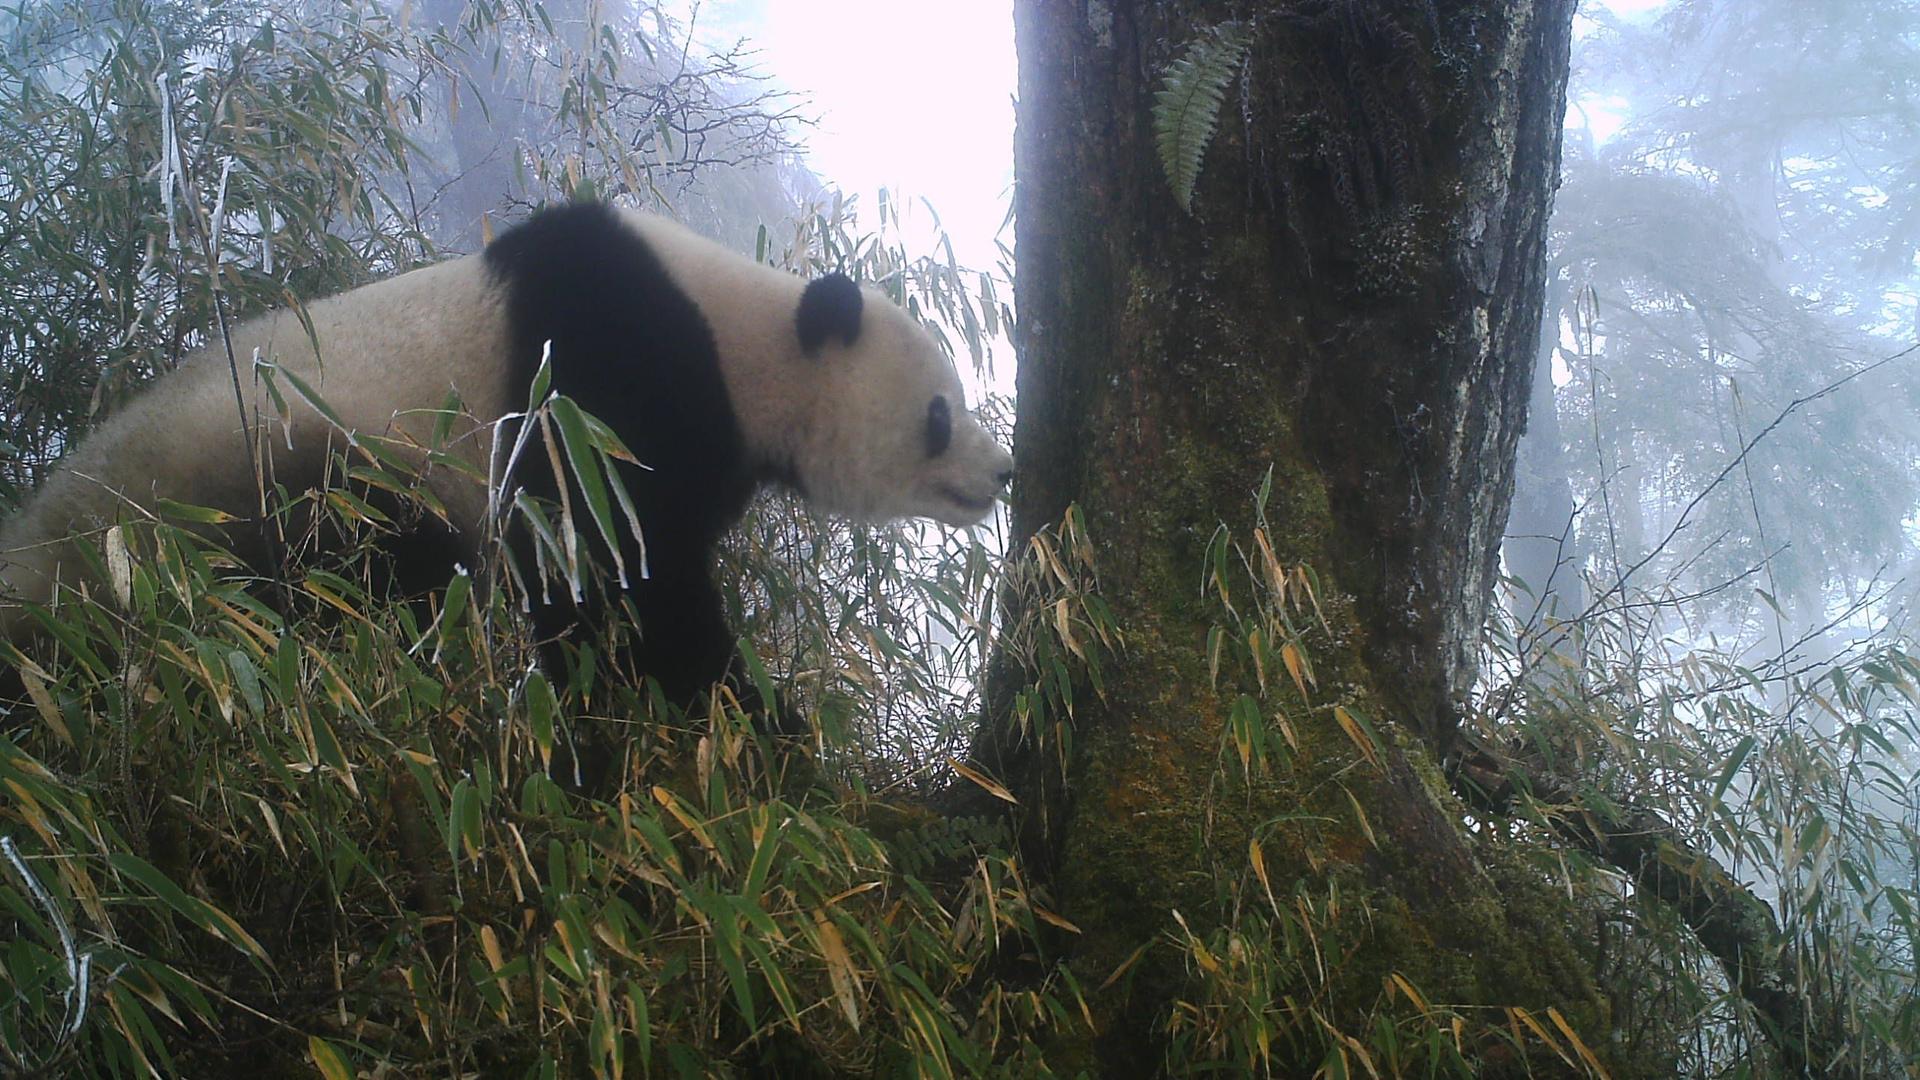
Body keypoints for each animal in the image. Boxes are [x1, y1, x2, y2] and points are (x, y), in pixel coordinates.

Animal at [0, 202, 1021, 703]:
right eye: (939, 413)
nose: (1003, 471)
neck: (746, 341)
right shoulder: (604, 382)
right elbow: (611, 575)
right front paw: (744, 715)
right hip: (276, 480)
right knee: (356, 581)